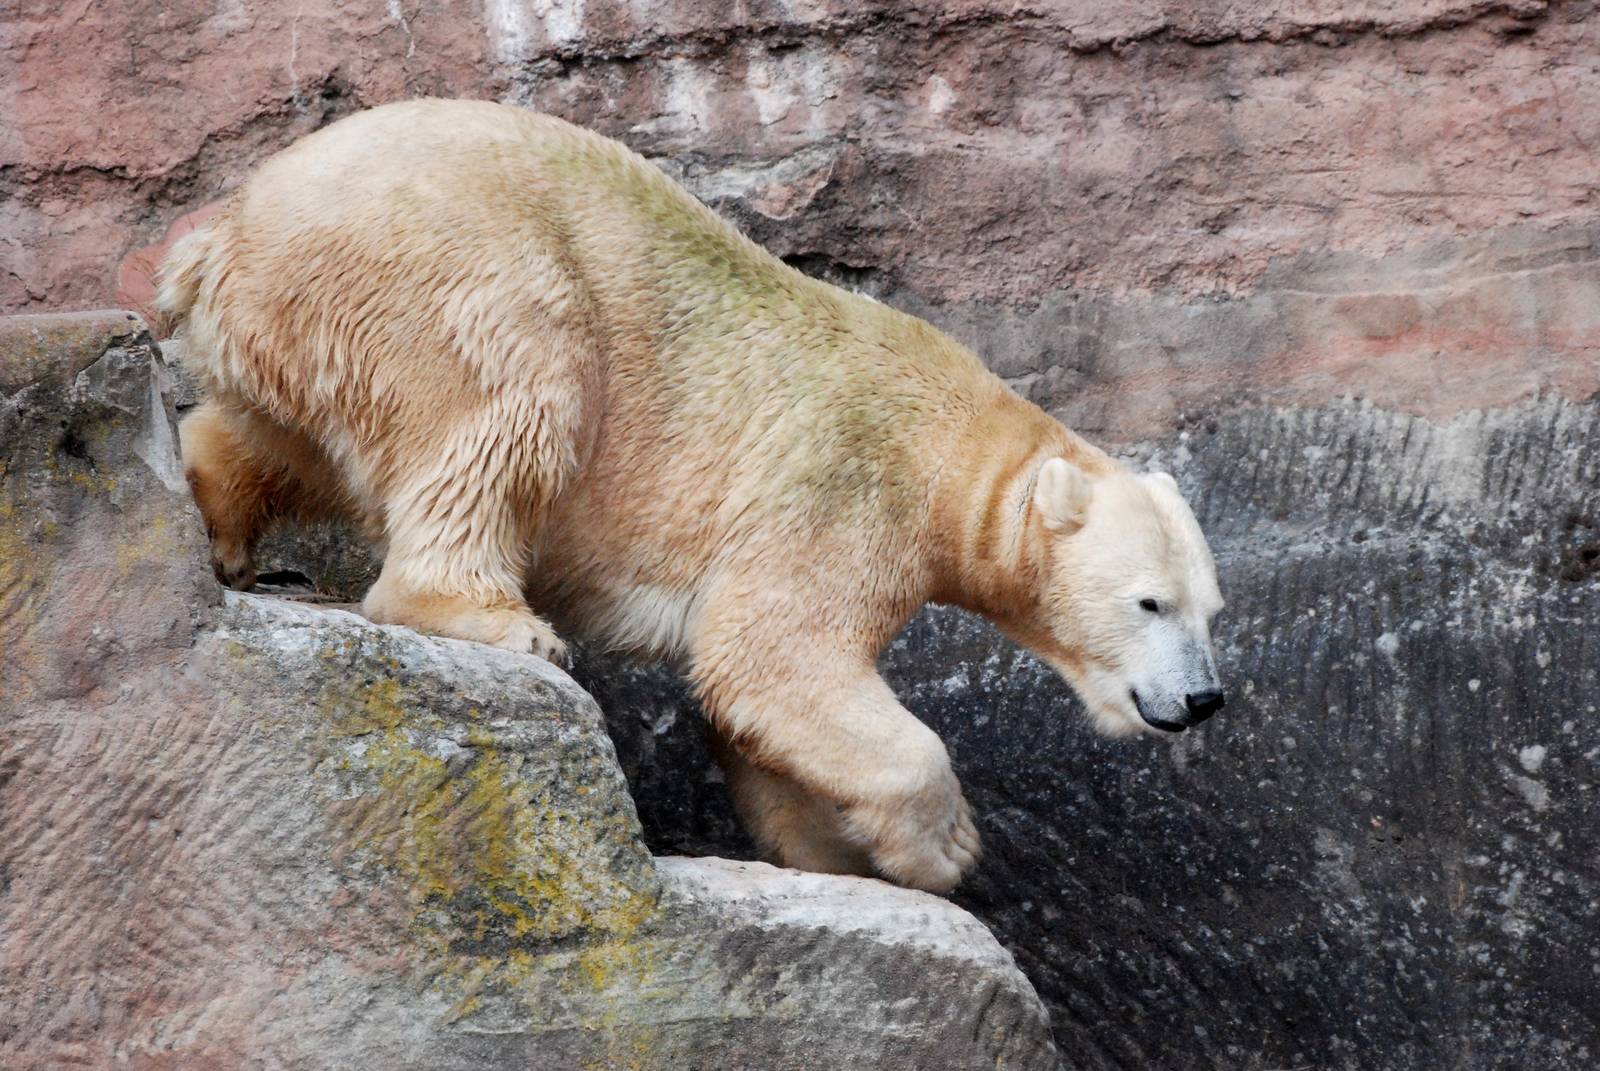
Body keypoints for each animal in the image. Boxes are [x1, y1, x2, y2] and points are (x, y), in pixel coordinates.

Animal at [158, 99, 1225, 894]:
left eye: (1212, 610)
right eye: (1149, 601)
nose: (1205, 697)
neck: (958, 437)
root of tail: (228, 232)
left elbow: (755, 716)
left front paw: (830, 852)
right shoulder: (847, 487)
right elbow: (773, 654)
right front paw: (945, 848)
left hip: (306, 322)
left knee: (278, 436)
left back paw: (220, 524)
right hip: (441, 269)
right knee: (515, 398)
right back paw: (496, 618)